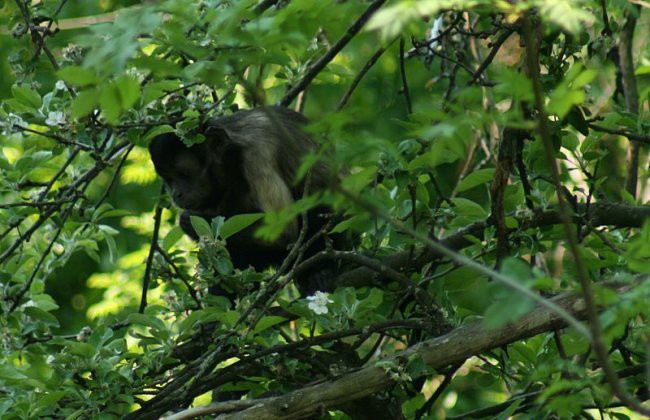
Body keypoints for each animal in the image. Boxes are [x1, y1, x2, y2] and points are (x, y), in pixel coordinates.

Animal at [147, 106, 340, 296]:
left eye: (183, 174)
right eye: (169, 179)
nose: (176, 194)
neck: (230, 152)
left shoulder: (255, 157)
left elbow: (284, 232)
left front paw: (192, 222)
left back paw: (320, 273)